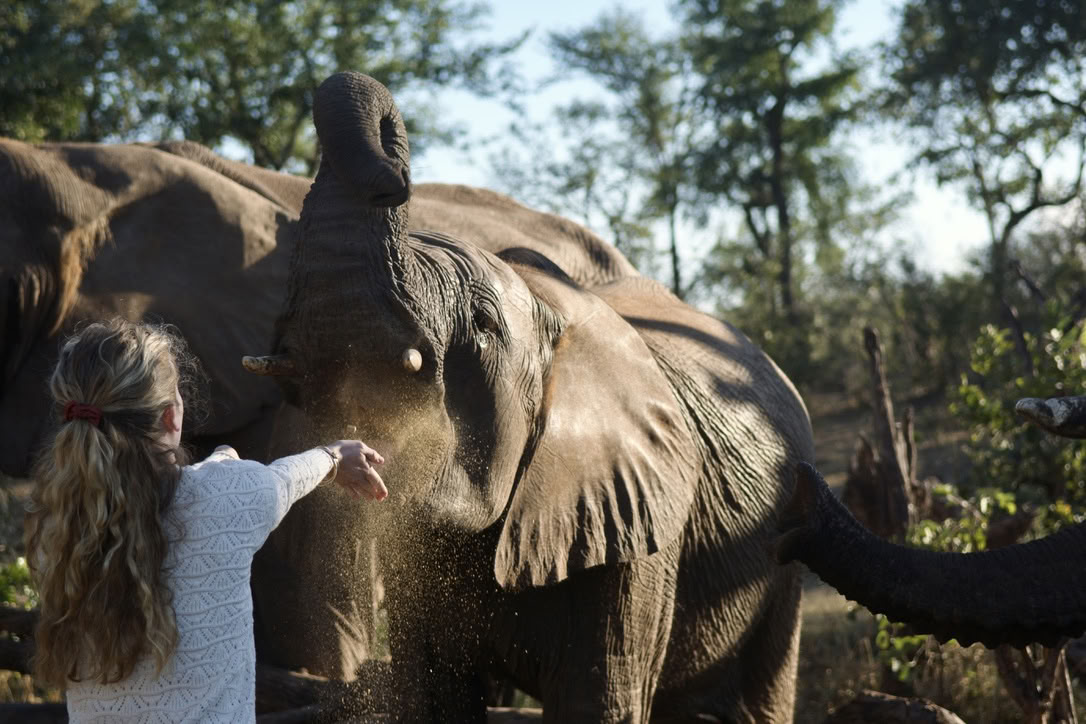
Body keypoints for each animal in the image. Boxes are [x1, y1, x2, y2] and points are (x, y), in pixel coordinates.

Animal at [244, 71, 816, 723]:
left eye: (484, 323)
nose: (396, 173)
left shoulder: (637, 533)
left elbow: (598, 699)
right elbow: (433, 695)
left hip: (788, 547)